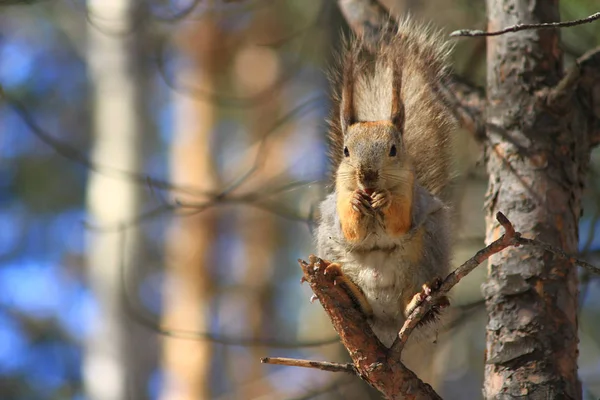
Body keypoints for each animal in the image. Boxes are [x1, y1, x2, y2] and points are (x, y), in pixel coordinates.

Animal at [314, 18, 454, 348]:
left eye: (393, 149)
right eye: (346, 151)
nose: (367, 176)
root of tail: (387, 322)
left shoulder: (411, 196)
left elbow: (399, 223)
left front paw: (385, 202)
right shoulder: (338, 200)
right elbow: (351, 229)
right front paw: (356, 203)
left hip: (426, 250)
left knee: (409, 299)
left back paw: (419, 300)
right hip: (329, 243)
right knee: (364, 306)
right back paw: (347, 288)